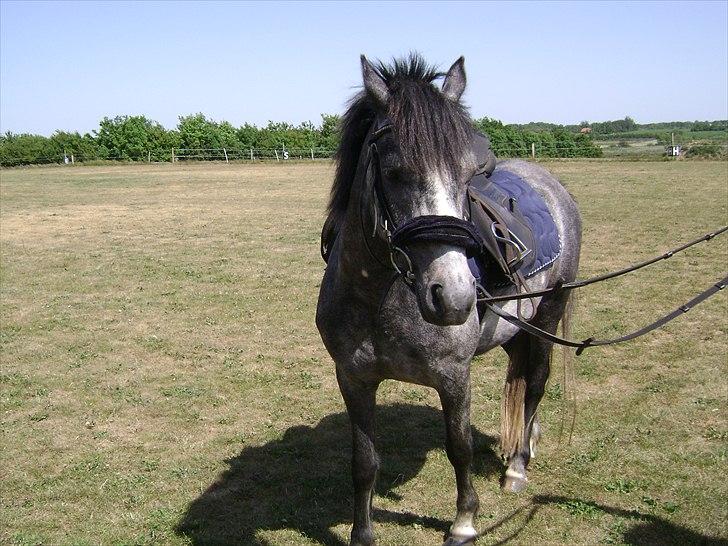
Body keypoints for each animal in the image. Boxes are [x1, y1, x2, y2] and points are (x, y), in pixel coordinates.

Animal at [316, 54, 584, 544]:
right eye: (395, 172)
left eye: (469, 174)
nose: (455, 297)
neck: (379, 300)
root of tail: (552, 185)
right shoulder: (353, 377)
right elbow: (364, 462)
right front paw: (362, 534)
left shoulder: (453, 377)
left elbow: (459, 447)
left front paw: (464, 521)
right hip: (516, 329)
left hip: (549, 314)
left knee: (536, 381)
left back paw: (517, 465)